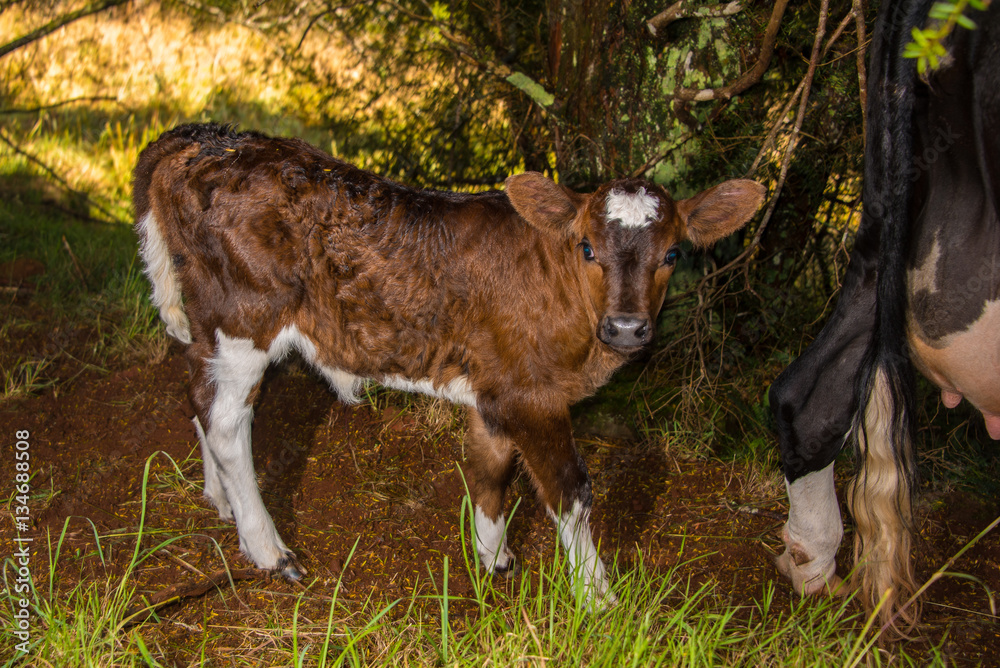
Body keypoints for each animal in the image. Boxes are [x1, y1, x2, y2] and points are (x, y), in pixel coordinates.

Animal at [133, 121, 764, 604]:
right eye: (587, 247)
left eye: (673, 254)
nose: (628, 327)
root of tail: (209, 139)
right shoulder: (533, 395)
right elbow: (570, 489)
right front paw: (598, 599)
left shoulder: (498, 385)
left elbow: (491, 466)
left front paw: (494, 557)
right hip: (244, 314)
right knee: (226, 420)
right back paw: (268, 548)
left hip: (209, 324)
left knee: (197, 392)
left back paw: (220, 501)